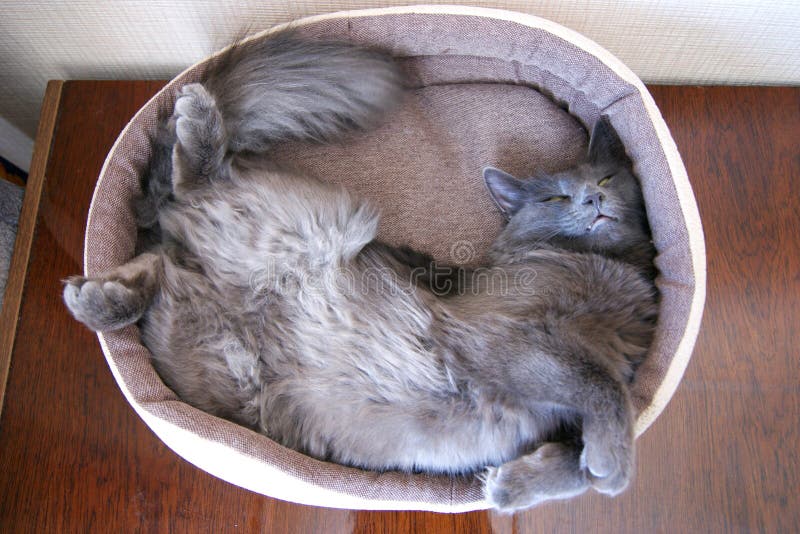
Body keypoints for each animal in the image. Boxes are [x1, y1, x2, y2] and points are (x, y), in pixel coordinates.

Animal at [64, 30, 656, 516]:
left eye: (606, 177)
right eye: (556, 197)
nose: (592, 197)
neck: (606, 265)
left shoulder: (553, 407)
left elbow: (578, 449)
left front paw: (515, 485)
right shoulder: (504, 340)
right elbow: (602, 387)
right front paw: (615, 466)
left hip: (211, 354)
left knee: (163, 263)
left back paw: (99, 299)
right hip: (315, 220)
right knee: (193, 190)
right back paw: (200, 124)